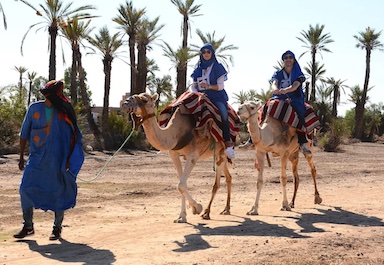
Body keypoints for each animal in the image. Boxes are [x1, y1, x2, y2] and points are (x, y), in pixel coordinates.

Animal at [123, 92, 236, 222]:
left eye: (145, 99)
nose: (125, 103)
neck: (176, 132)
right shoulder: (174, 154)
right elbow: (182, 184)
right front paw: (182, 217)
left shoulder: (193, 155)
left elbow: (181, 185)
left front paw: (197, 208)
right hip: (219, 155)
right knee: (228, 177)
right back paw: (226, 209)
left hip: (221, 152)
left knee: (216, 183)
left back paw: (207, 213)